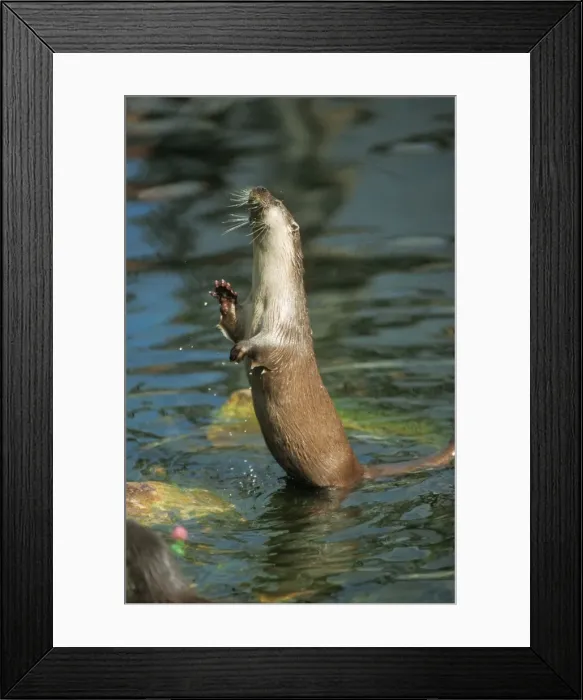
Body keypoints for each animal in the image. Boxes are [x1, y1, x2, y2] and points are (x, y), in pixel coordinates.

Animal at [210, 186, 454, 489]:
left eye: (276, 201)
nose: (259, 189)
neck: (268, 300)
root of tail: (357, 468)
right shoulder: (247, 316)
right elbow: (233, 326)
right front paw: (225, 294)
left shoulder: (284, 329)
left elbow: (265, 346)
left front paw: (241, 350)